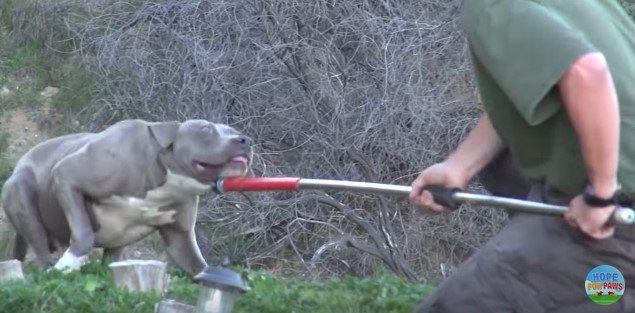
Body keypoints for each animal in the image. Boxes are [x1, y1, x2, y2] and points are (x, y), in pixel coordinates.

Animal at [0, 118, 253, 274]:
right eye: (205, 129)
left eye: (233, 131)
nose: (246, 140)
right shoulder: (66, 175)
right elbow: (83, 234)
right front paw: (68, 265)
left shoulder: (180, 237)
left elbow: (198, 265)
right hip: (22, 195)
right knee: (40, 246)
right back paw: (50, 268)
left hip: (116, 245)